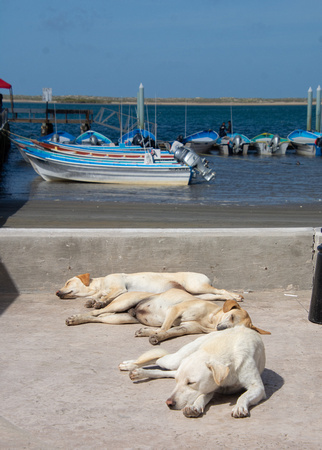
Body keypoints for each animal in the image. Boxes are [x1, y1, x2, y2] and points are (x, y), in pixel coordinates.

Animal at [65, 288, 266, 344]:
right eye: (231, 318)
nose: (221, 329)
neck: (209, 320)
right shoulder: (175, 311)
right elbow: (164, 328)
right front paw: (153, 334)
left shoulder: (185, 328)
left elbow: (169, 332)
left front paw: (151, 334)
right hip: (123, 303)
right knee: (95, 312)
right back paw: (76, 318)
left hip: (119, 318)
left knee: (98, 318)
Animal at [119, 326, 268, 418]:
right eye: (177, 382)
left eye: (191, 383)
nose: (169, 403)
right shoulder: (211, 387)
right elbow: (201, 397)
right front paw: (194, 407)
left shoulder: (258, 387)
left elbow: (243, 395)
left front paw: (239, 407)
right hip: (176, 359)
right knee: (159, 358)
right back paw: (130, 365)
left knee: (166, 370)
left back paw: (138, 372)